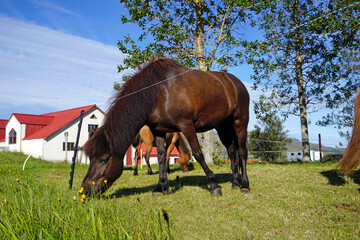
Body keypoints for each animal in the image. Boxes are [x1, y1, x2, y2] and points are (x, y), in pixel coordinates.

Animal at [81, 58, 249, 197]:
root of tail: (237, 83)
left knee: (242, 152)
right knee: (232, 152)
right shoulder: (159, 131)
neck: (159, 93)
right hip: (223, 127)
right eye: (90, 158)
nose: (85, 191)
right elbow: (161, 158)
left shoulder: (186, 125)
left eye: (103, 159)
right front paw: (161, 187)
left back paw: (245, 185)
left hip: (240, 123)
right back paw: (235, 183)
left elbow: (198, 154)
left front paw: (214, 185)